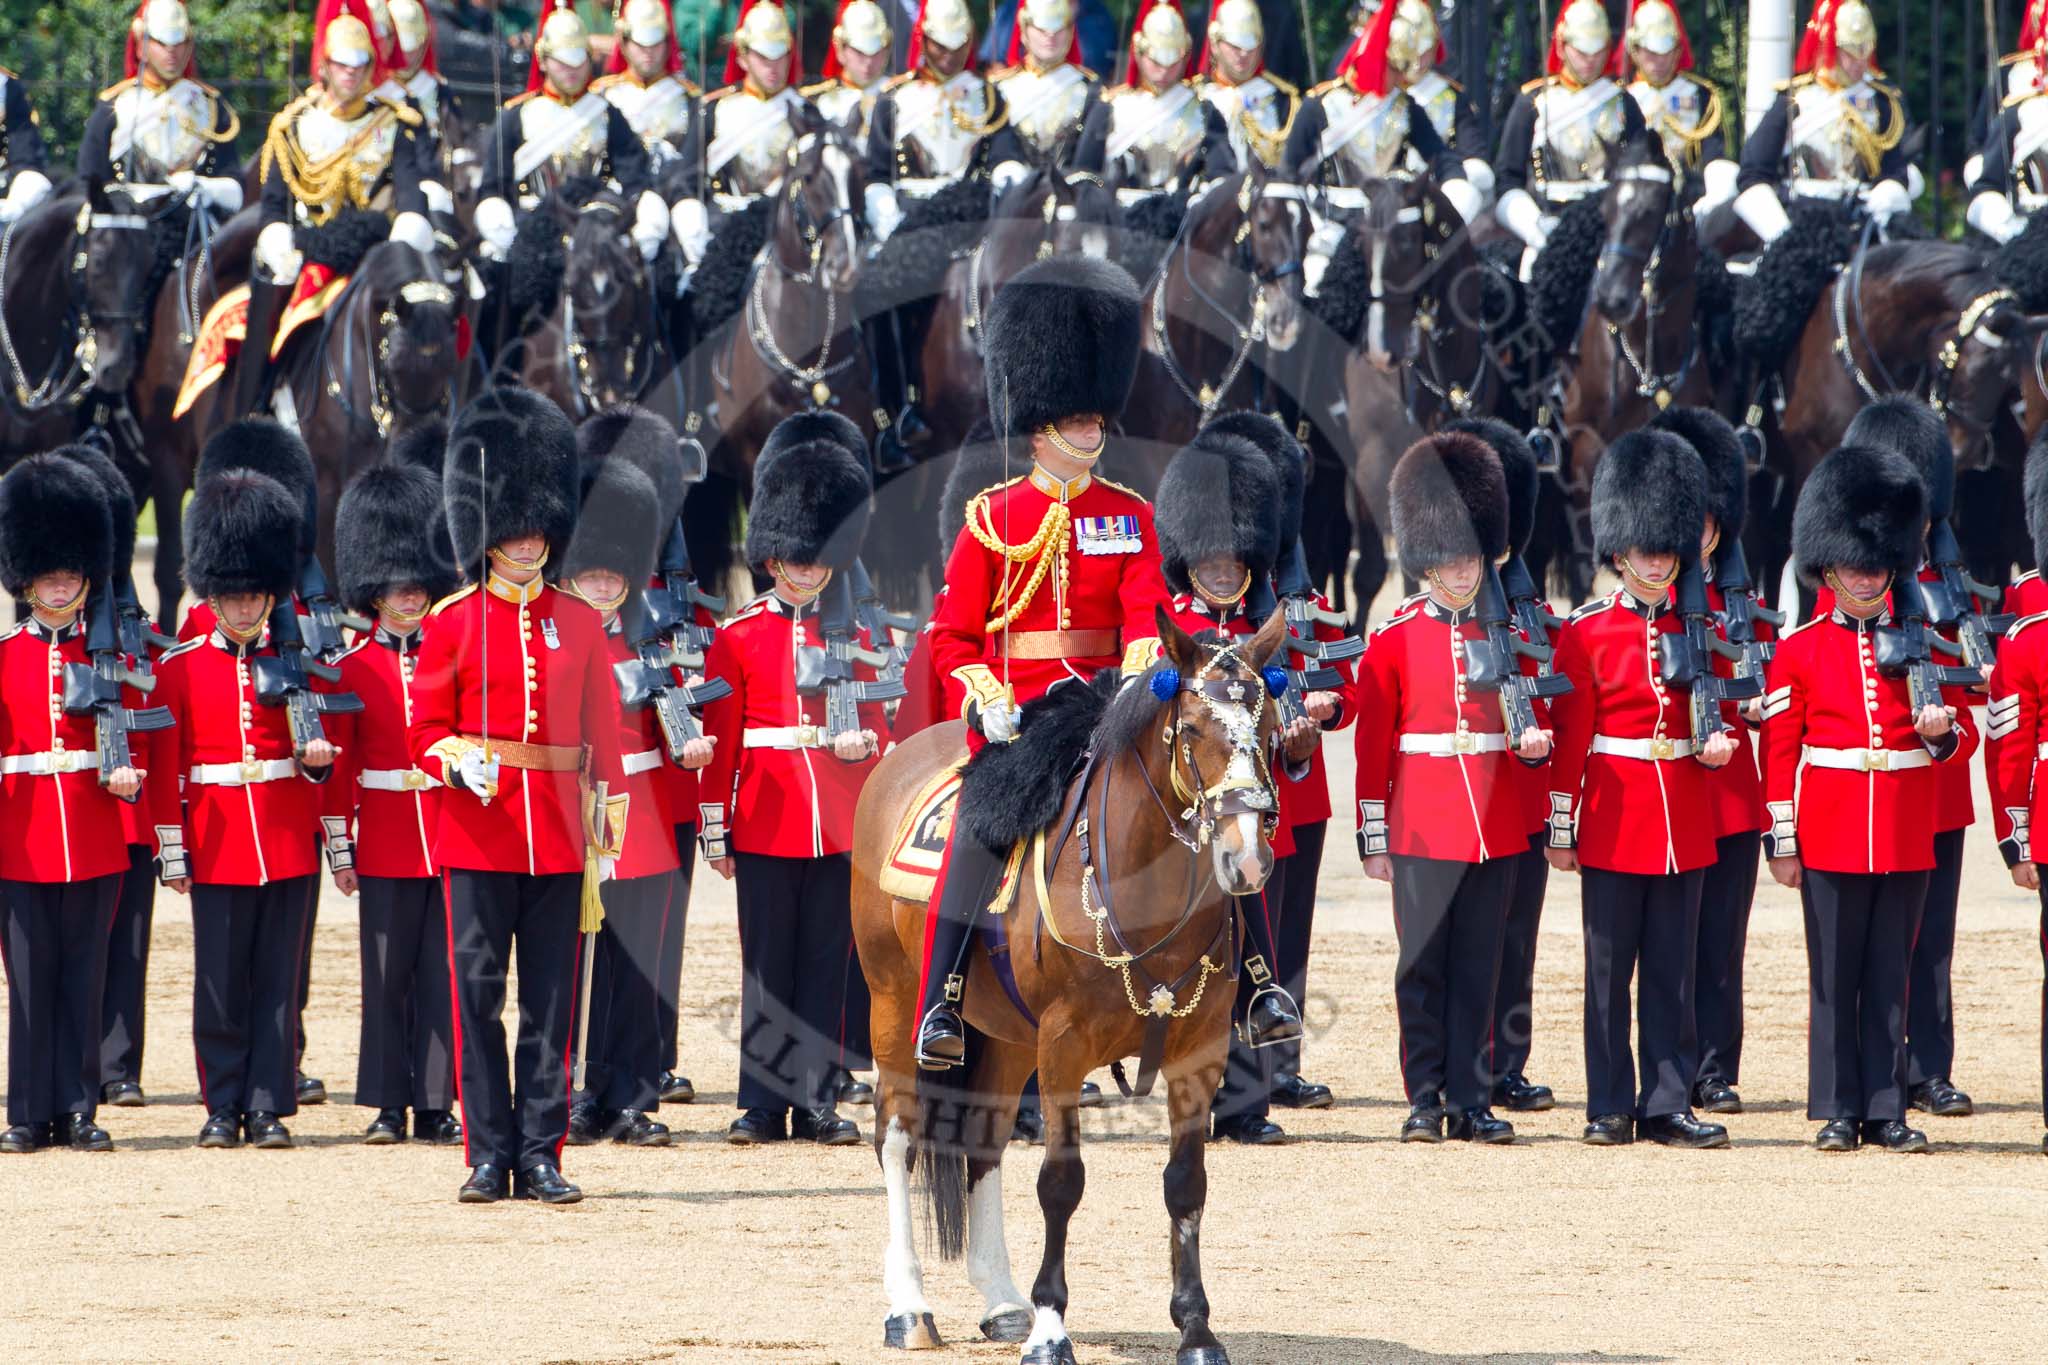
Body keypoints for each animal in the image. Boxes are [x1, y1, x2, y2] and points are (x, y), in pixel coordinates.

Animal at [856, 613, 1286, 1365]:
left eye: (1266, 729)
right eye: (1192, 728)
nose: (1248, 859)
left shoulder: (1198, 1052)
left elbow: (1186, 1185)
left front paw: (1196, 1328)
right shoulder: (1063, 1047)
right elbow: (1061, 1183)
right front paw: (1051, 1328)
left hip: (1003, 1038)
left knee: (984, 1141)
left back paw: (1002, 1302)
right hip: (894, 1005)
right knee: (899, 1136)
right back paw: (909, 1306)